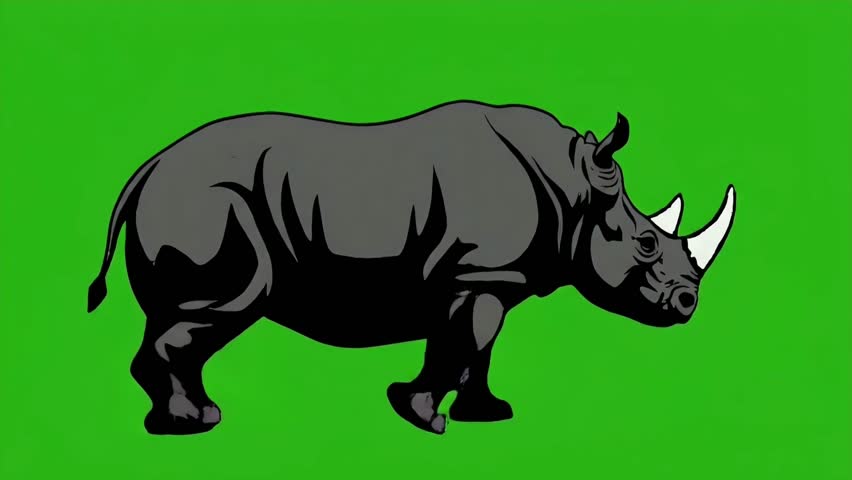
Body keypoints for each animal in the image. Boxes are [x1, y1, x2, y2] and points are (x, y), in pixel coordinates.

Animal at [87, 100, 736, 436]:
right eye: (645, 244)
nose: (688, 303)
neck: (573, 188)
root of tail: (143, 170)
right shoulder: (478, 273)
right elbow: (461, 342)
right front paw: (422, 415)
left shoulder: (489, 278)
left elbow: (478, 350)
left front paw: (488, 415)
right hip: (208, 204)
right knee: (225, 304)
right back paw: (192, 425)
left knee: (186, 318)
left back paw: (195, 416)